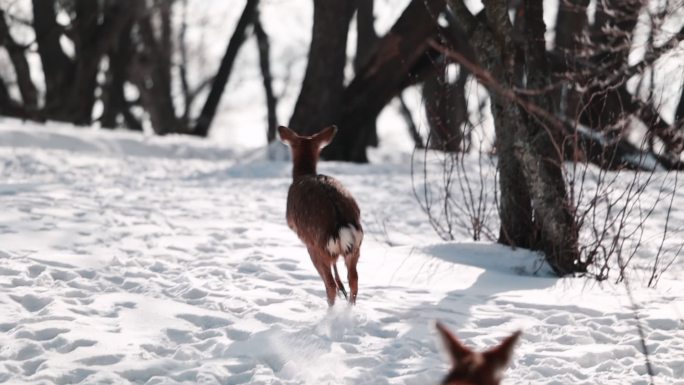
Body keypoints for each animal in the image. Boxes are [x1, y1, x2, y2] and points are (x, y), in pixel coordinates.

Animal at [278, 126, 364, 306]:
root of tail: (340, 223)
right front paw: (342, 289)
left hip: (315, 244)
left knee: (329, 283)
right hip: (356, 246)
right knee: (354, 279)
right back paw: (349, 304)